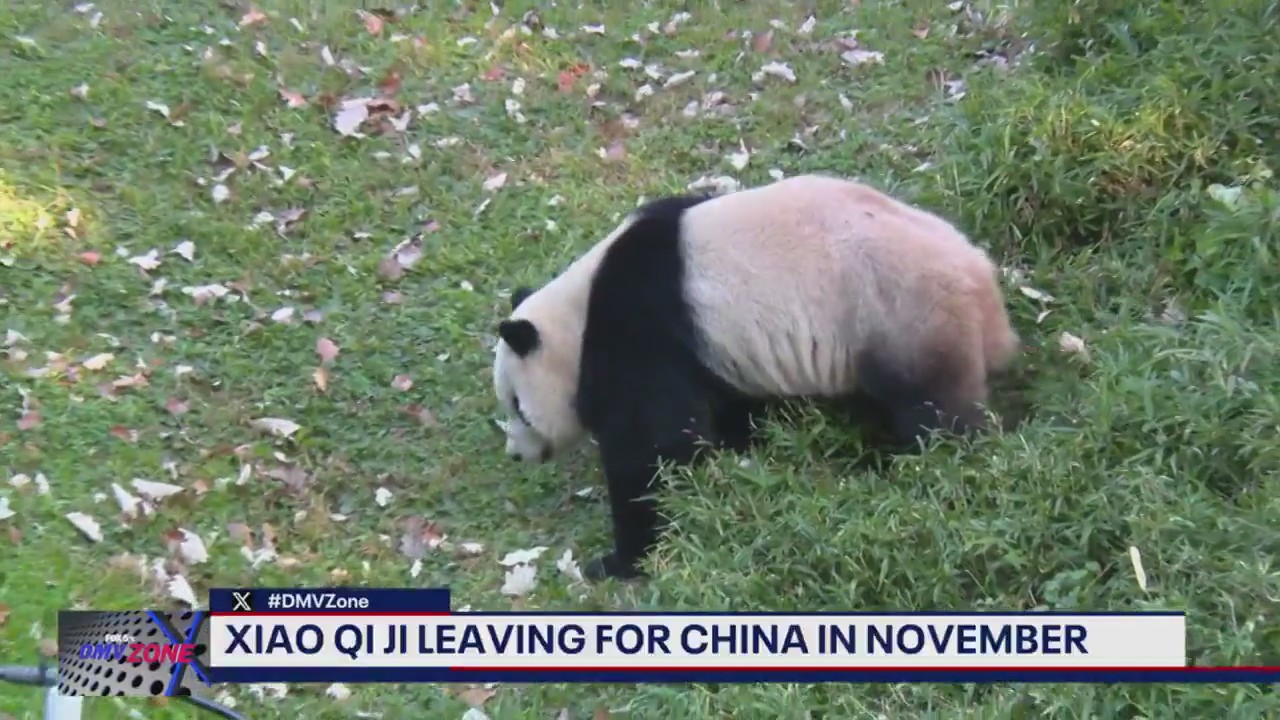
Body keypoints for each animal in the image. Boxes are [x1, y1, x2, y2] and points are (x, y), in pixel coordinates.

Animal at [492, 174, 1019, 582]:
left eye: (517, 405)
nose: (515, 454)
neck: (578, 312)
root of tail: (984, 292)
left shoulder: (640, 327)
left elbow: (653, 446)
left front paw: (618, 559)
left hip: (900, 315)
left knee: (934, 410)